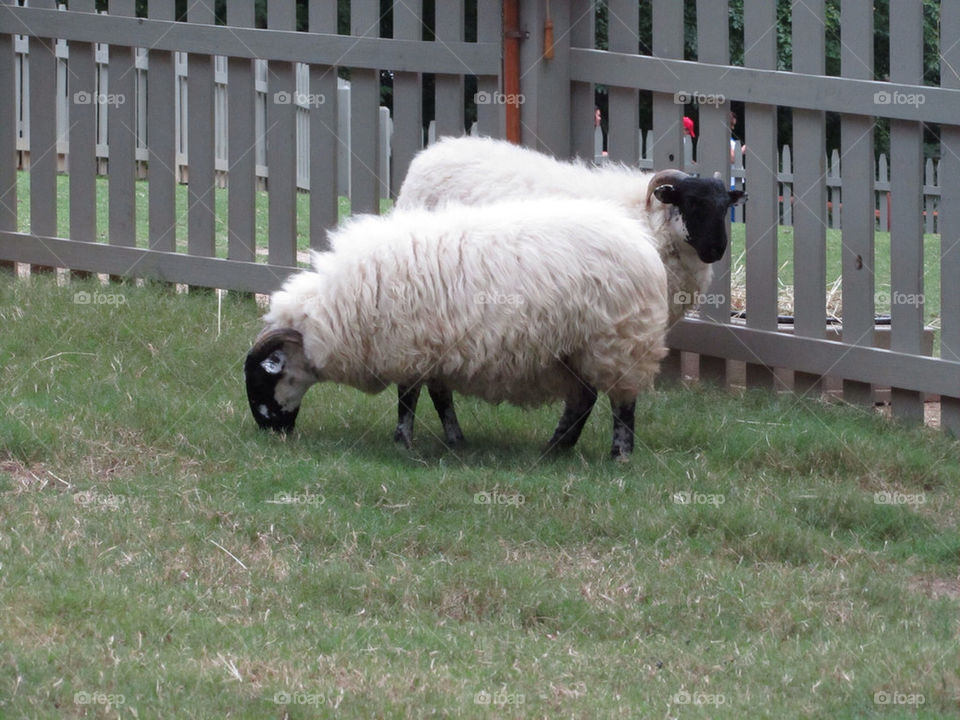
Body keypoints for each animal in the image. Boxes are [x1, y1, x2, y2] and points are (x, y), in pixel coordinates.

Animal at [245, 198, 669, 458]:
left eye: (266, 376)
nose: (270, 431)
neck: (335, 310)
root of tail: (642, 243)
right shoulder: (435, 351)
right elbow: (440, 398)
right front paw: (455, 440)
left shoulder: (408, 348)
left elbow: (407, 400)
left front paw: (402, 442)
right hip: (574, 350)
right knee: (582, 400)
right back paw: (555, 449)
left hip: (618, 341)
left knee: (622, 403)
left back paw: (619, 454)